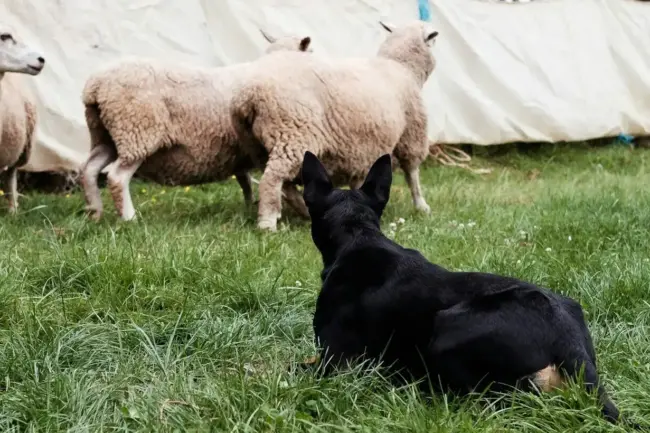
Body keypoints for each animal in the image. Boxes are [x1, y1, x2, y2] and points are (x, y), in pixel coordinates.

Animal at [80, 31, 313, 222]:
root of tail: (95, 85)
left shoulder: (238, 152)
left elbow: (245, 182)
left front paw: (249, 206)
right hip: (137, 131)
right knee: (117, 177)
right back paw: (130, 219)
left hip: (106, 135)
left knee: (90, 169)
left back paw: (95, 213)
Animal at [230, 20, 439, 232]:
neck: (401, 66)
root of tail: (250, 95)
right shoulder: (412, 131)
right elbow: (412, 173)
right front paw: (422, 206)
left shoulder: (362, 149)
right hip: (292, 134)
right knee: (272, 179)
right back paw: (267, 223)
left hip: (256, 144)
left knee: (284, 184)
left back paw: (305, 211)